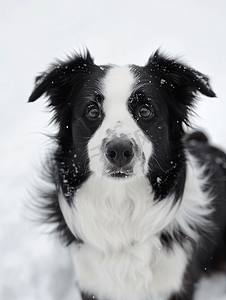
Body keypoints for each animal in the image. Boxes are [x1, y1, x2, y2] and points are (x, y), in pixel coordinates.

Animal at [28, 50, 226, 298]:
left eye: (145, 111)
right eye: (92, 111)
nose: (120, 151)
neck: (120, 205)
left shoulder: (177, 282)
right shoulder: (90, 282)